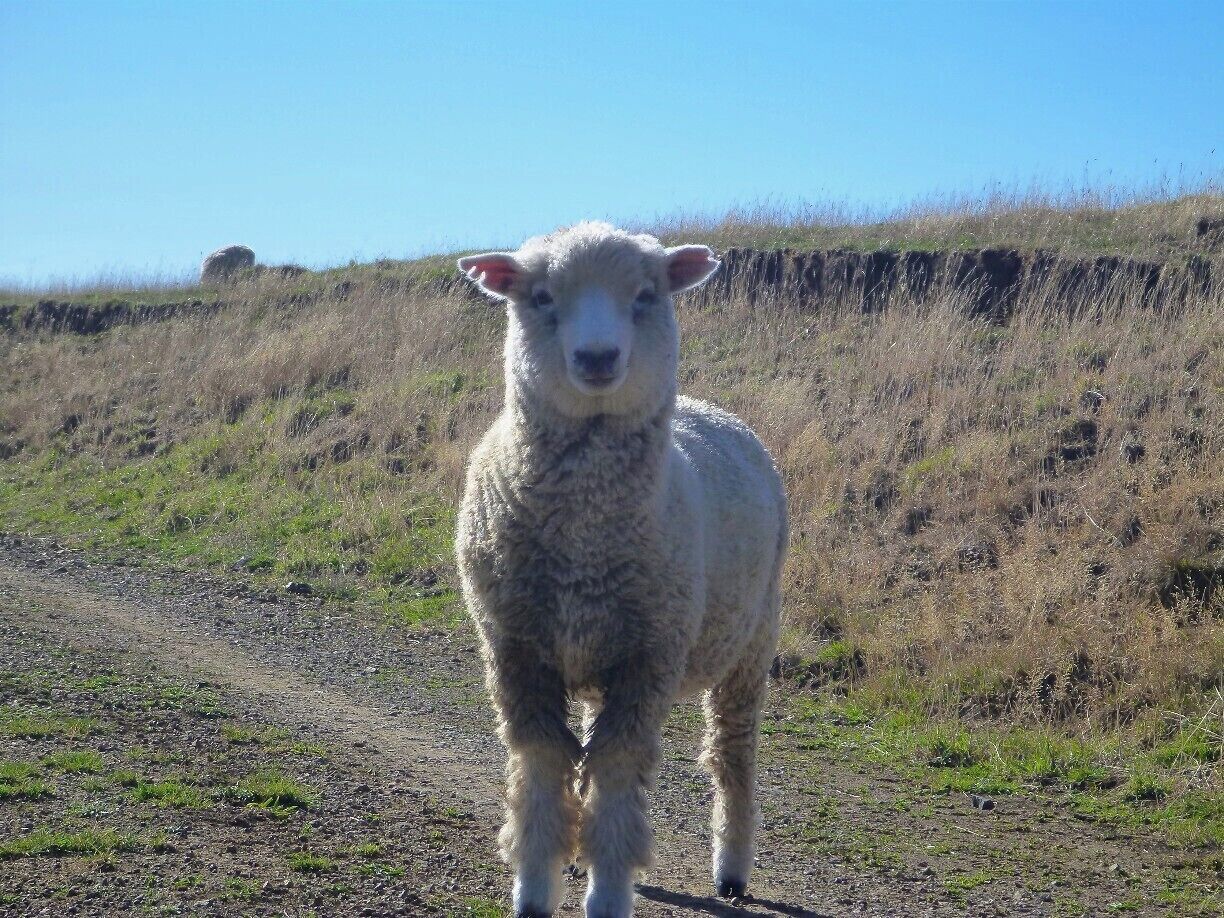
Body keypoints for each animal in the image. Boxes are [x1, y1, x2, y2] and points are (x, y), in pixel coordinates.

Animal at [455, 222, 787, 918]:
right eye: (542, 297)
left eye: (644, 295)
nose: (598, 358)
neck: (584, 538)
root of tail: (710, 407)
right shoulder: (516, 651)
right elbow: (544, 764)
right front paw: (536, 884)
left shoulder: (649, 659)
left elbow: (616, 768)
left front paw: (608, 891)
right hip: (594, 642)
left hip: (751, 642)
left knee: (733, 754)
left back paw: (732, 868)